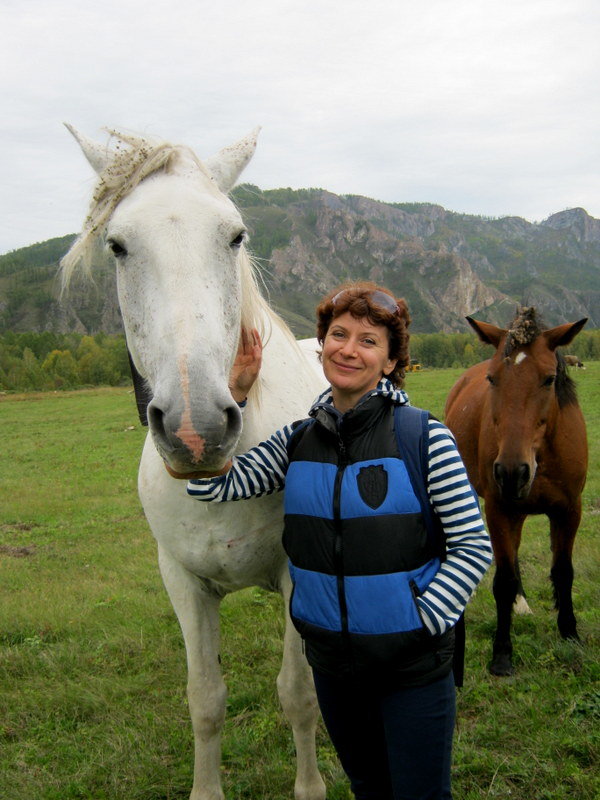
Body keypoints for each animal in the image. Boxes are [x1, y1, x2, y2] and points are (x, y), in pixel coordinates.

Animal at [61, 126, 326, 800]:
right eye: (118, 245)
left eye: (235, 235)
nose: (195, 428)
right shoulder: (182, 581)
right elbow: (205, 700)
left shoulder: (300, 576)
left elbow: (298, 695)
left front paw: (310, 787)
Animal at [442, 306, 588, 676]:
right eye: (493, 379)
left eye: (549, 379)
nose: (511, 472)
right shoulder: (499, 509)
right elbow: (504, 580)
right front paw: (502, 653)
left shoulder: (570, 511)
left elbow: (564, 572)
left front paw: (570, 634)